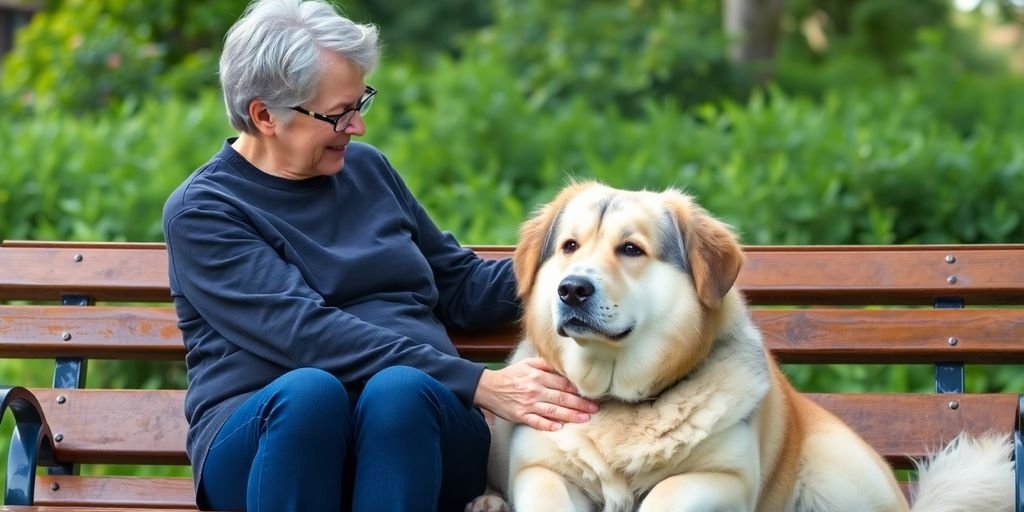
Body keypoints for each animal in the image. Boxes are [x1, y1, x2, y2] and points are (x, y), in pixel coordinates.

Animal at [468, 183, 1011, 512]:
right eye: (570, 247)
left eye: (631, 249)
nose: (572, 289)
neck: (620, 402)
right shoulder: (539, 470)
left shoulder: (722, 478)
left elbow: (666, 493)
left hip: (835, 470)